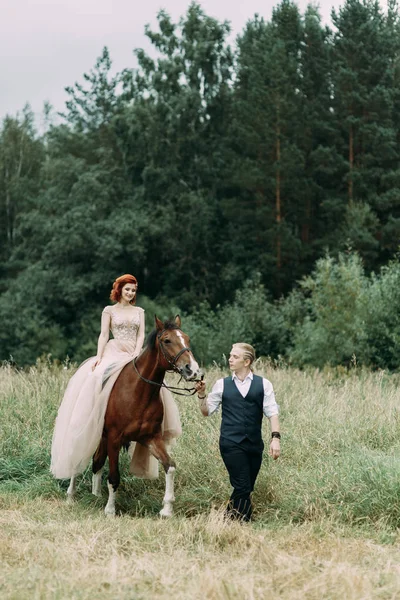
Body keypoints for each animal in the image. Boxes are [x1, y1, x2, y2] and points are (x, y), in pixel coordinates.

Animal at [67, 314, 203, 516]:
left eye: (187, 339)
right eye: (167, 340)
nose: (192, 370)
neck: (138, 392)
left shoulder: (151, 438)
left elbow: (170, 466)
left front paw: (167, 508)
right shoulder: (114, 439)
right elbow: (114, 476)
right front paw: (110, 510)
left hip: (102, 437)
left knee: (97, 461)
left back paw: (96, 495)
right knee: (76, 457)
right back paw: (71, 496)